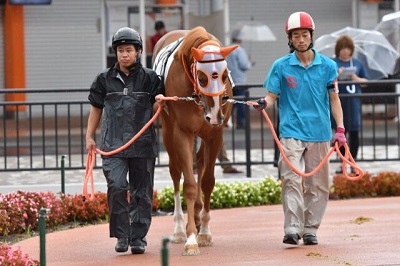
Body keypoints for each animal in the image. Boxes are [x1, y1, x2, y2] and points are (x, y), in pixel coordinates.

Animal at [152, 27, 236, 256]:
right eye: (202, 77)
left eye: (224, 75)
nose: (215, 114)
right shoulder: (183, 133)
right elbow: (188, 184)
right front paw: (190, 239)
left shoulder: (215, 134)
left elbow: (207, 181)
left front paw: (204, 231)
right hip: (168, 129)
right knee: (176, 170)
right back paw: (180, 229)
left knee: (199, 162)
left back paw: (197, 218)